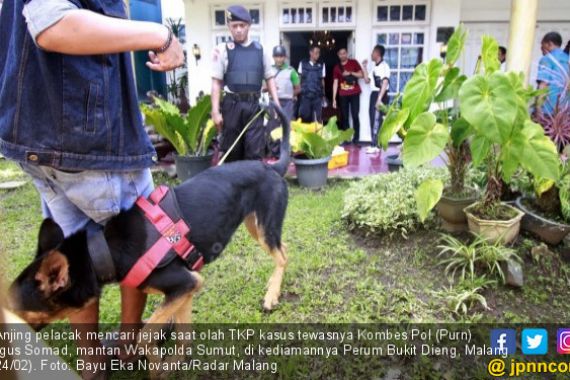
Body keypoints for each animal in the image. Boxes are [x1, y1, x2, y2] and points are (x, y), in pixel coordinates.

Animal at [8, 102, 290, 372]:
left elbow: (144, 336)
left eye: (15, 311)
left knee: (282, 257)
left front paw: (156, 365)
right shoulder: (187, 289)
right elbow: (183, 337)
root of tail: (272, 166)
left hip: (264, 227)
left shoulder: (184, 283)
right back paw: (272, 288)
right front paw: (170, 365)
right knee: (283, 248)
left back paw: (271, 296)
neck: (104, 251)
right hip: (256, 226)